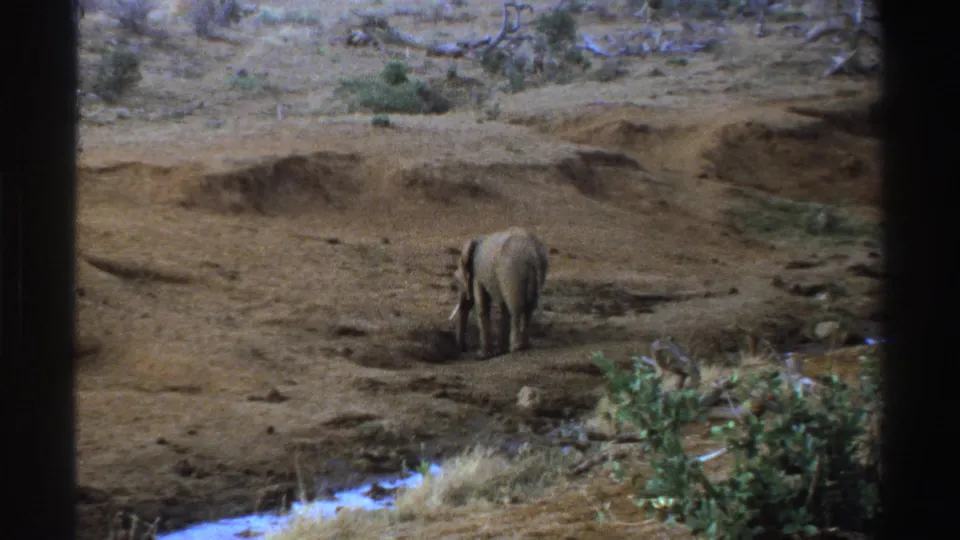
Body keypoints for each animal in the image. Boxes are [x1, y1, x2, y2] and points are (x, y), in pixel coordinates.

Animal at [448, 227, 549, 359]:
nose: (464, 349)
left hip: (511, 271)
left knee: (515, 307)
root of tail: (533, 253)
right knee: (529, 308)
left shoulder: (477, 274)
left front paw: (482, 355)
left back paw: (516, 347)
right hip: (535, 271)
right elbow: (502, 306)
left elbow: (482, 305)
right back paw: (524, 345)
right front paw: (500, 351)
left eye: (457, 282)